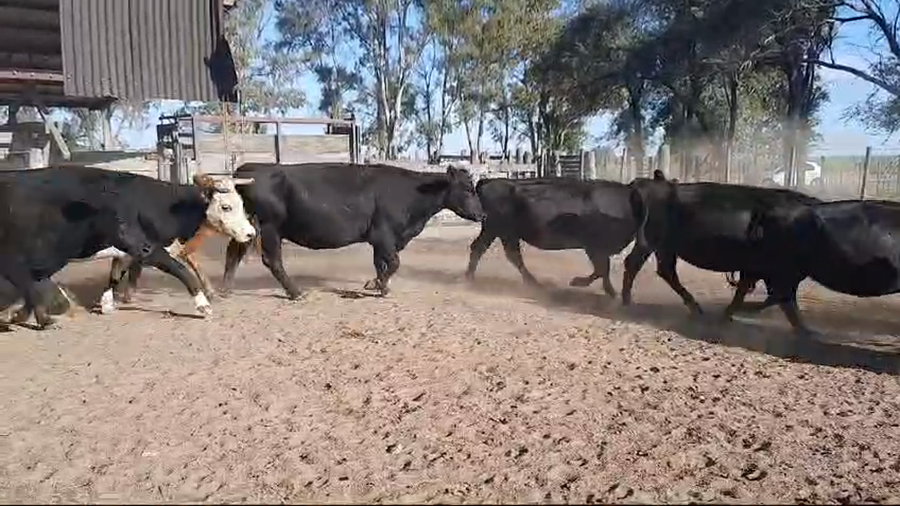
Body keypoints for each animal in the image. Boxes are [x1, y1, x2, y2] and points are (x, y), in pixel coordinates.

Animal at [0, 167, 256, 329]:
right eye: (225, 206)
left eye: (241, 204)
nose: (250, 233)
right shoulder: (144, 247)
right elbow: (181, 270)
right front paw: (203, 305)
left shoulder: (125, 251)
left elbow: (115, 275)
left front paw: (106, 303)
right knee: (22, 278)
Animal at [220, 162, 485, 299]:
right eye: (468, 189)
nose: (482, 215)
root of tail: (247, 169)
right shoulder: (384, 235)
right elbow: (394, 263)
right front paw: (376, 285)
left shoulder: (379, 241)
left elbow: (381, 264)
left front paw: (381, 286)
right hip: (270, 227)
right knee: (272, 260)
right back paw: (296, 292)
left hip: (249, 226)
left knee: (233, 253)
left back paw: (225, 290)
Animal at [465, 177, 644, 297]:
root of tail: (489, 181)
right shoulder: (594, 247)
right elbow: (602, 269)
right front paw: (581, 283)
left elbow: (602, 270)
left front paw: (610, 291)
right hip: (496, 229)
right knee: (485, 249)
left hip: (503, 233)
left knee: (506, 254)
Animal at [621, 170, 822, 324]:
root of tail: (645, 182)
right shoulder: (764, 269)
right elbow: (771, 296)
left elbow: (773, 297)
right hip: (650, 240)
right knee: (636, 264)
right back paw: (627, 302)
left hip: (664, 247)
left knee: (663, 270)